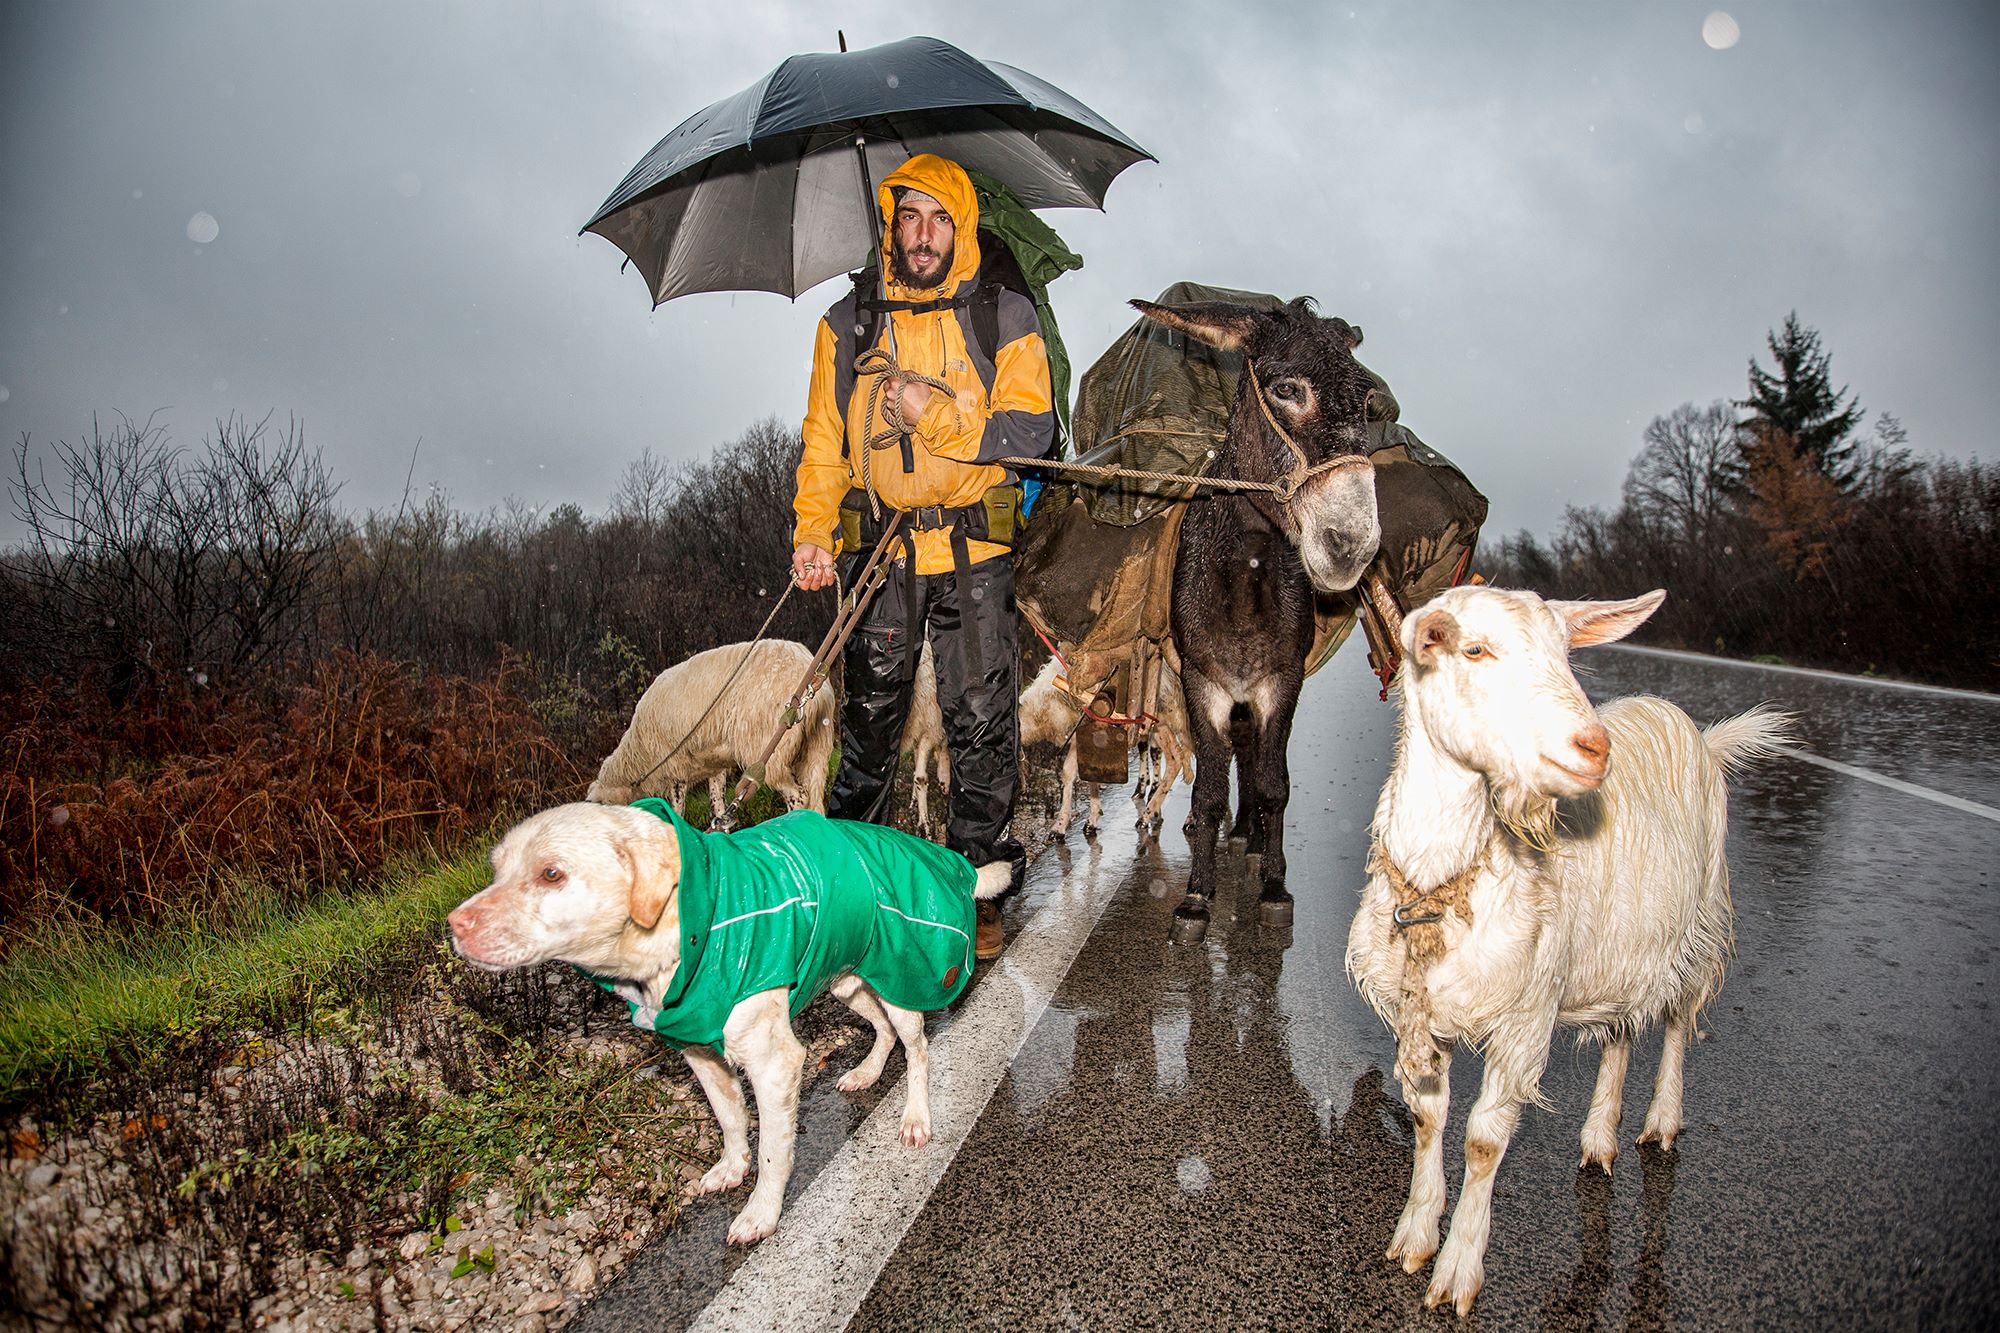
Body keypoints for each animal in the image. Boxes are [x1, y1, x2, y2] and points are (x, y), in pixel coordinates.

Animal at [447, 797, 1010, 1244]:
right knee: (883, 1028)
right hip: (847, 979)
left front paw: (761, 1212)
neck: (688, 919)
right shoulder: (702, 1056)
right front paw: (732, 1167)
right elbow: (731, 1121)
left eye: (551, 873)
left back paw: (916, 1116)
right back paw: (867, 1072)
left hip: (899, 976)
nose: (455, 925)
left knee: (916, 1047)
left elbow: (773, 1151)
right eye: (496, 869)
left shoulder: (775, 1064)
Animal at [586, 639, 836, 824]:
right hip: (817, 745)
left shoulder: (675, 767)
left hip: (767, 751)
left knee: (798, 796)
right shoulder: (716, 765)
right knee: (814, 795)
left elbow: (678, 809)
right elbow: (718, 807)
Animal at [1343, 585, 1790, 1316]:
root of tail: (1693, 729)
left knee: (1676, 1022)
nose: (1593, 747)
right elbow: (1427, 1117)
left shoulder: (1525, 1018)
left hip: (1699, 920)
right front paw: (1414, 1237)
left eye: (1565, 652)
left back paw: (1662, 1122)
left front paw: (1458, 1272)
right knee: (1621, 1032)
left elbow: (1484, 1139)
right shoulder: (1421, 1012)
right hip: (1618, 949)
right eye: (1473, 648)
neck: (1446, 882)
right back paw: (1599, 1138)